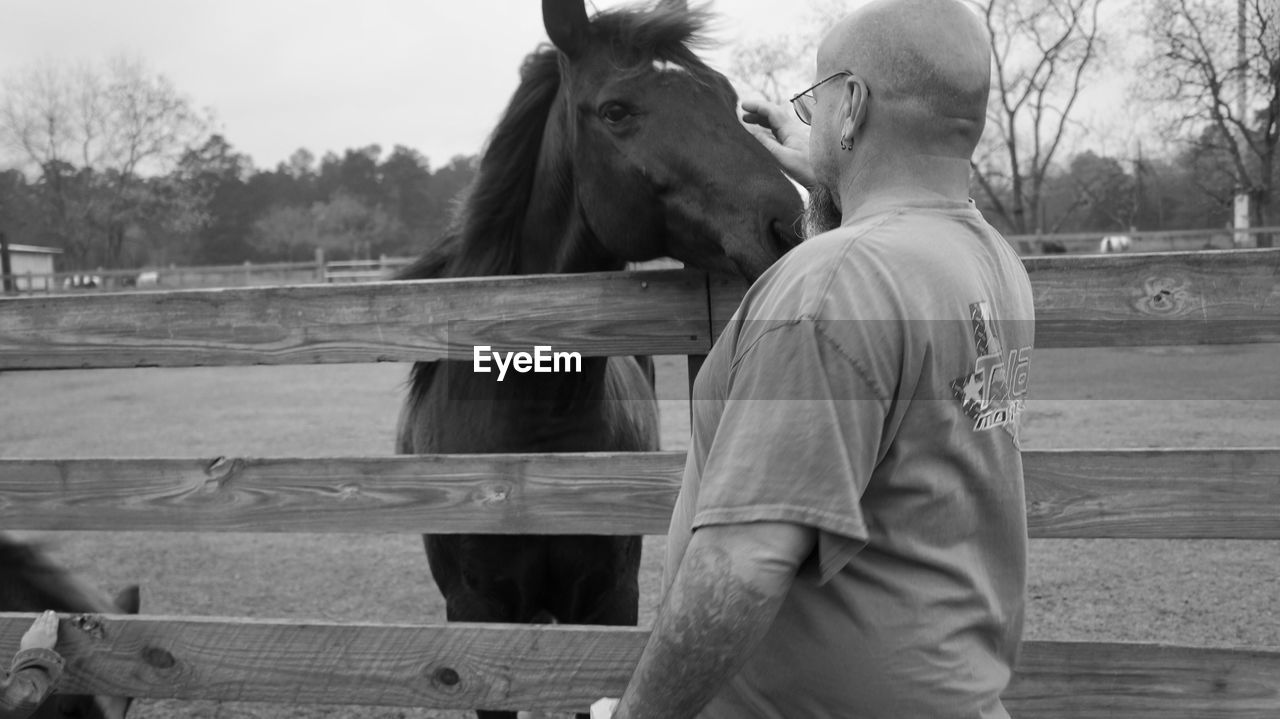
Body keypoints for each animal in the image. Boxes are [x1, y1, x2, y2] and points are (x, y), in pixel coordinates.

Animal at [394, 2, 803, 711]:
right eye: (616, 110)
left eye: (729, 99)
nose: (788, 224)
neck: (532, 443)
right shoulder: (477, 623)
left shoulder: (609, 604)